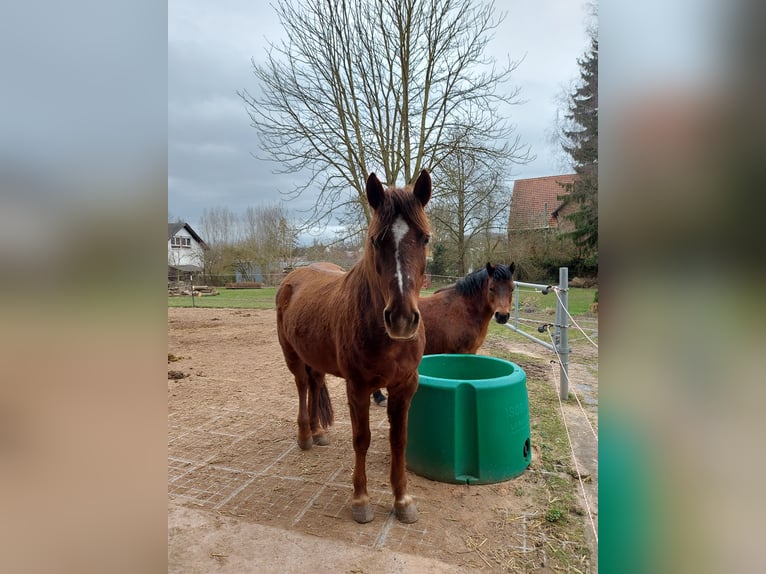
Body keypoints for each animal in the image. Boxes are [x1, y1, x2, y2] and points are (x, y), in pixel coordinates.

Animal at [276, 170, 432, 524]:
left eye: (425, 238)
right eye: (375, 240)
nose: (402, 319)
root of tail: (293, 277)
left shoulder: (405, 386)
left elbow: (398, 440)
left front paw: (403, 500)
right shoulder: (358, 387)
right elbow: (362, 439)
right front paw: (361, 500)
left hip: (316, 356)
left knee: (315, 382)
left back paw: (318, 432)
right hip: (292, 356)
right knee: (303, 385)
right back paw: (305, 436)